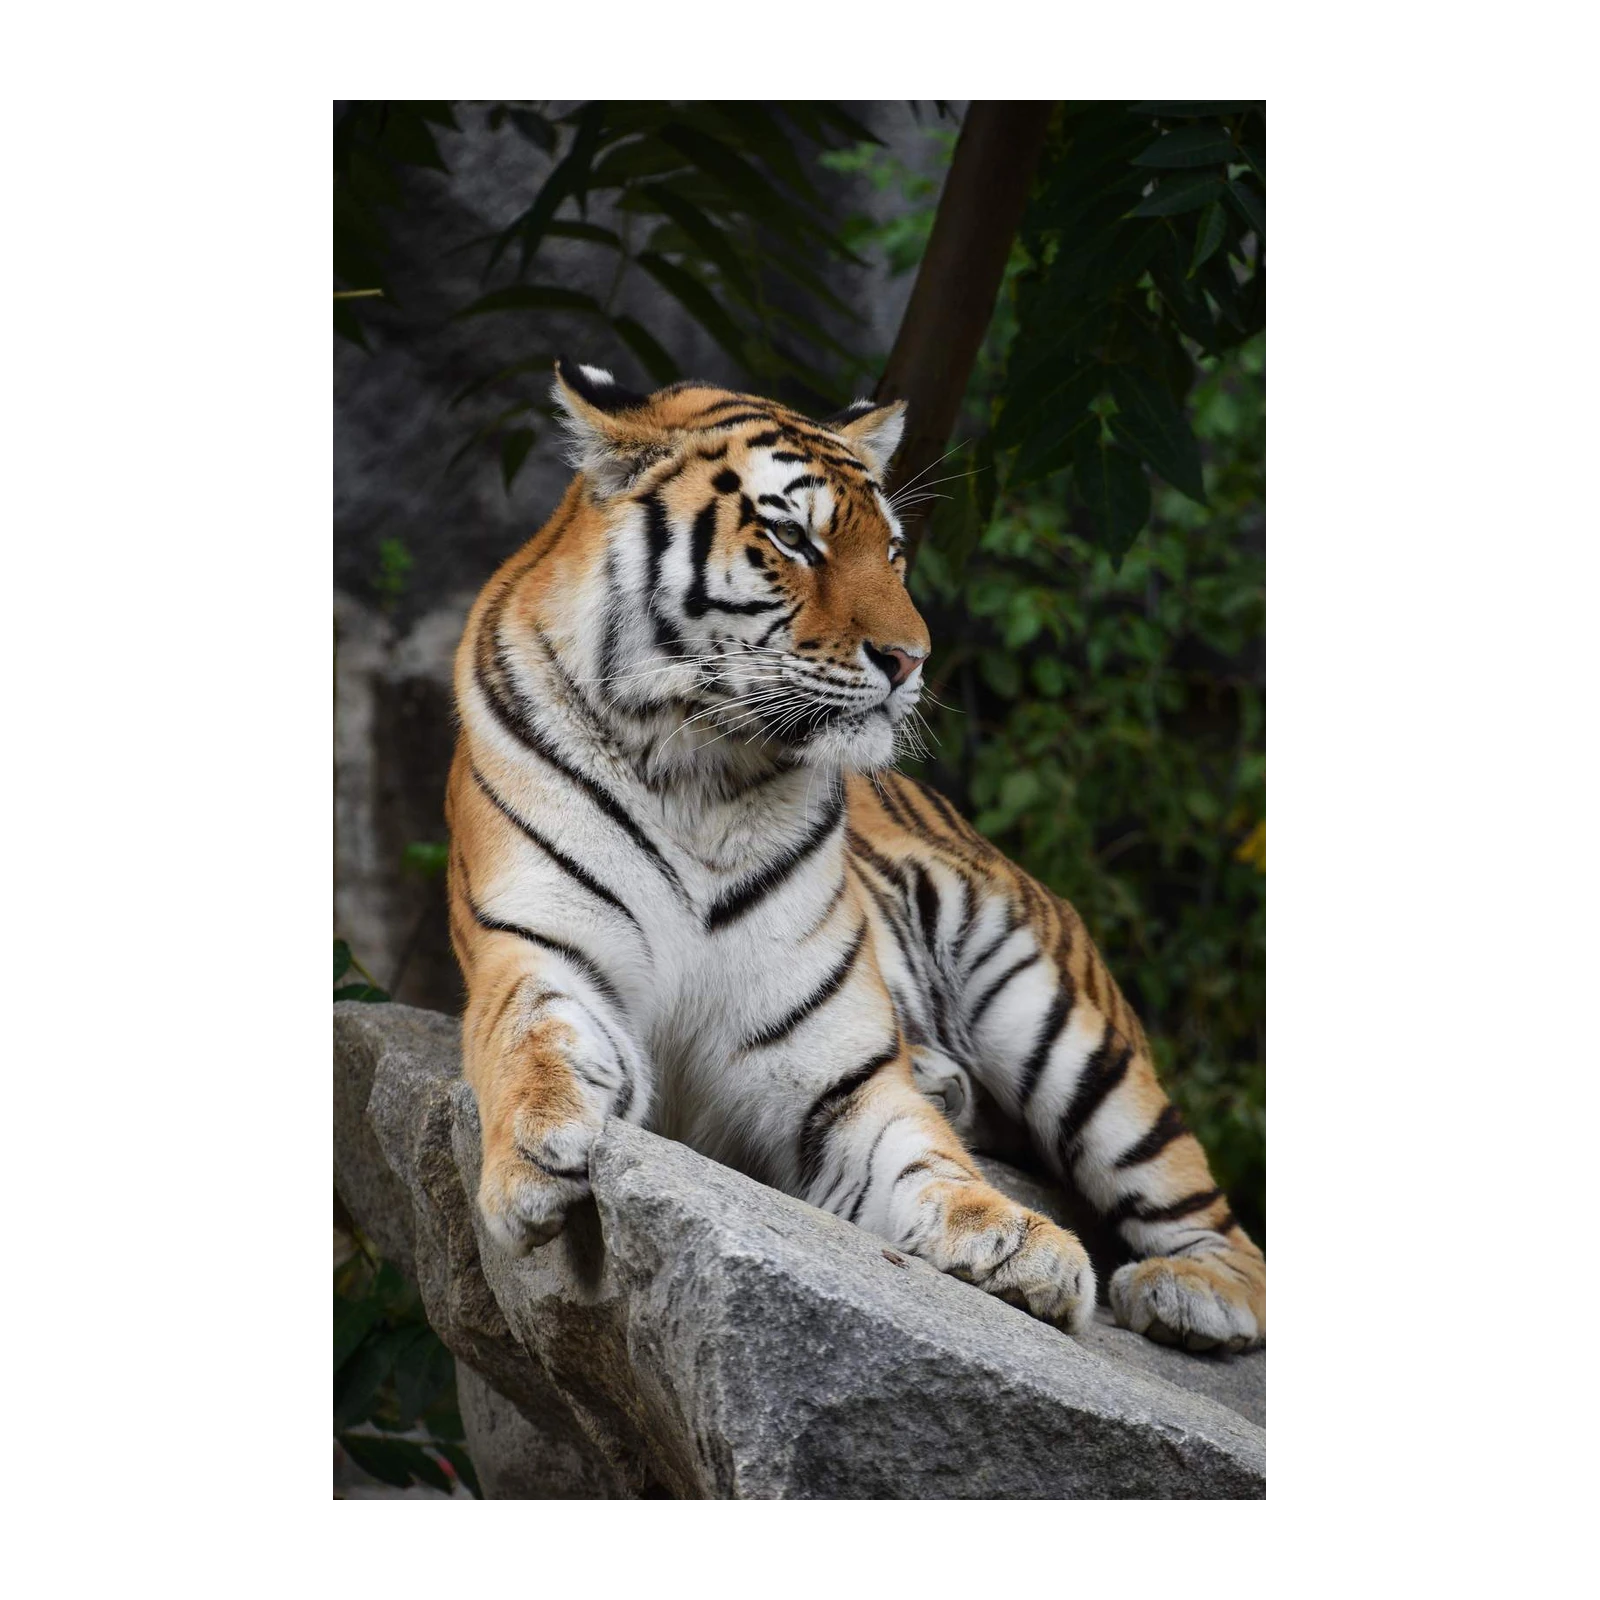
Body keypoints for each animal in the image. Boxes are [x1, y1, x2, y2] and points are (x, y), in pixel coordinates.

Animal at [445, 357, 1267, 1354]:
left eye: (895, 551)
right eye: (792, 535)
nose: (912, 660)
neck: (695, 768)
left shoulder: (831, 1068)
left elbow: (919, 1156)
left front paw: (1017, 1243)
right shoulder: (538, 951)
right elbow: (532, 1041)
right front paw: (538, 1153)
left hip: (1061, 1018)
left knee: (1213, 1217)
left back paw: (1194, 1292)